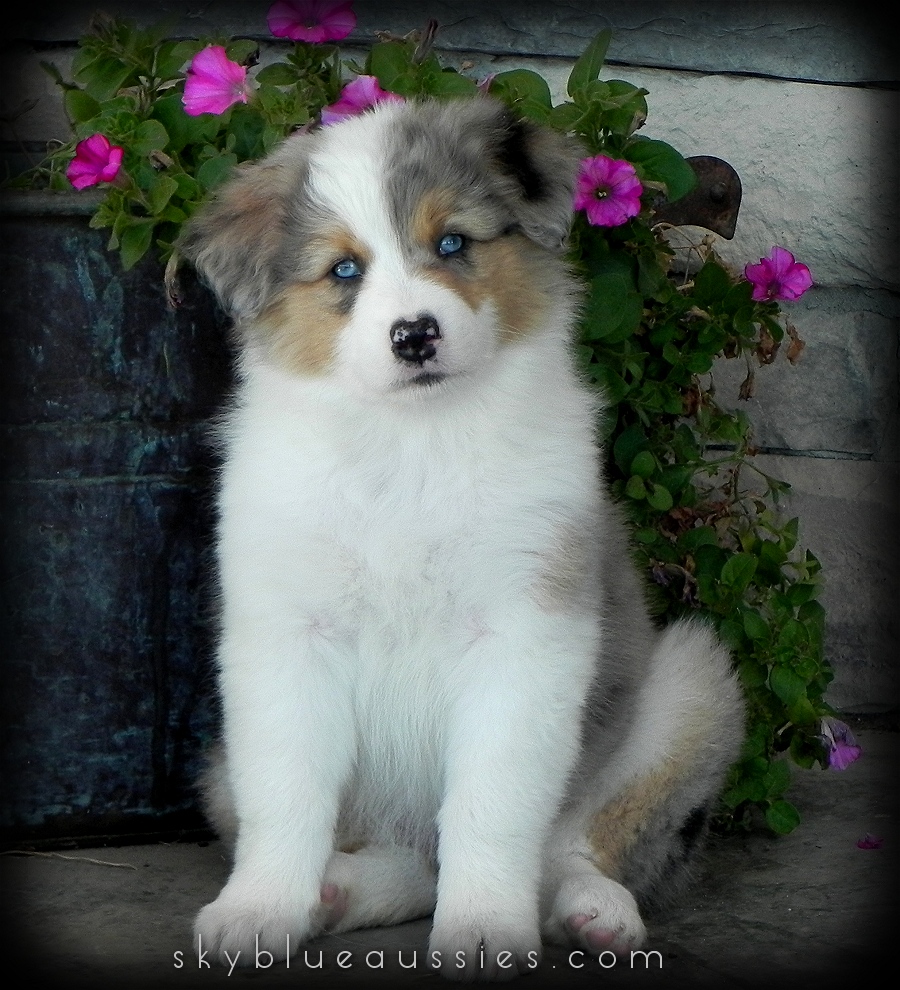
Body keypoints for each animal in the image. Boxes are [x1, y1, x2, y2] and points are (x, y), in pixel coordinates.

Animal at [179, 97, 740, 980]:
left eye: (452, 244)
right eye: (343, 271)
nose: (415, 335)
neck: (412, 443)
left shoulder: (525, 633)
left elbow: (493, 803)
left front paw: (482, 933)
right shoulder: (286, 636)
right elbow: (287, 794)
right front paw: (258, 912)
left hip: (691, 680)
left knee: (572, 845)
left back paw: (595, 910)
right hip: (217, 774)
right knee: (410, 860)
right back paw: (337, 891)